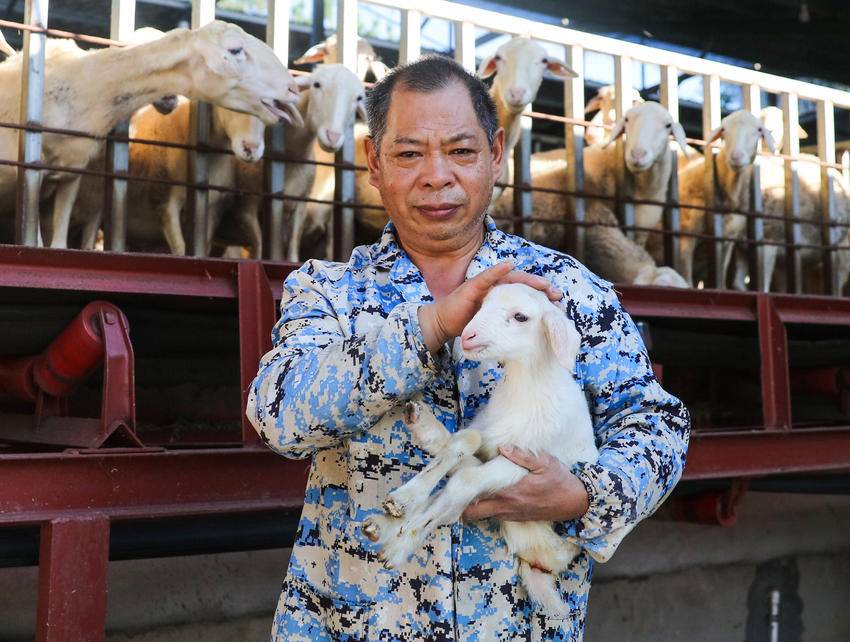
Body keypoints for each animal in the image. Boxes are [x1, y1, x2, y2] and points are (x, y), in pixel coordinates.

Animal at [0, 21, 301, 248]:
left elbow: (59, 243)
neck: (87, 86)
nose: (292, 89)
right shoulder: (36, 174)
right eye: (235, 49)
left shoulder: (71, 174)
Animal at [222, 64, 366, 261]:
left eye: (358, 97)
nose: (333, 137)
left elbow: (292, 252)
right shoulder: (247, 208)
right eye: (317, 85)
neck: (292, 155)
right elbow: (260, 249)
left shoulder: (300, 206)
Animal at [362, 282, 602, 614]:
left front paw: (402, 542)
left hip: (534, 529)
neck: (526, 391)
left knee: (455, 501)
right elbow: (465, 442)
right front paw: (404, 500)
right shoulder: (489, 436)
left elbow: (464, 482)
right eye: (480, 304)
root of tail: (542, 565)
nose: (467, 336)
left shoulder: (526, 461)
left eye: (520, 316)